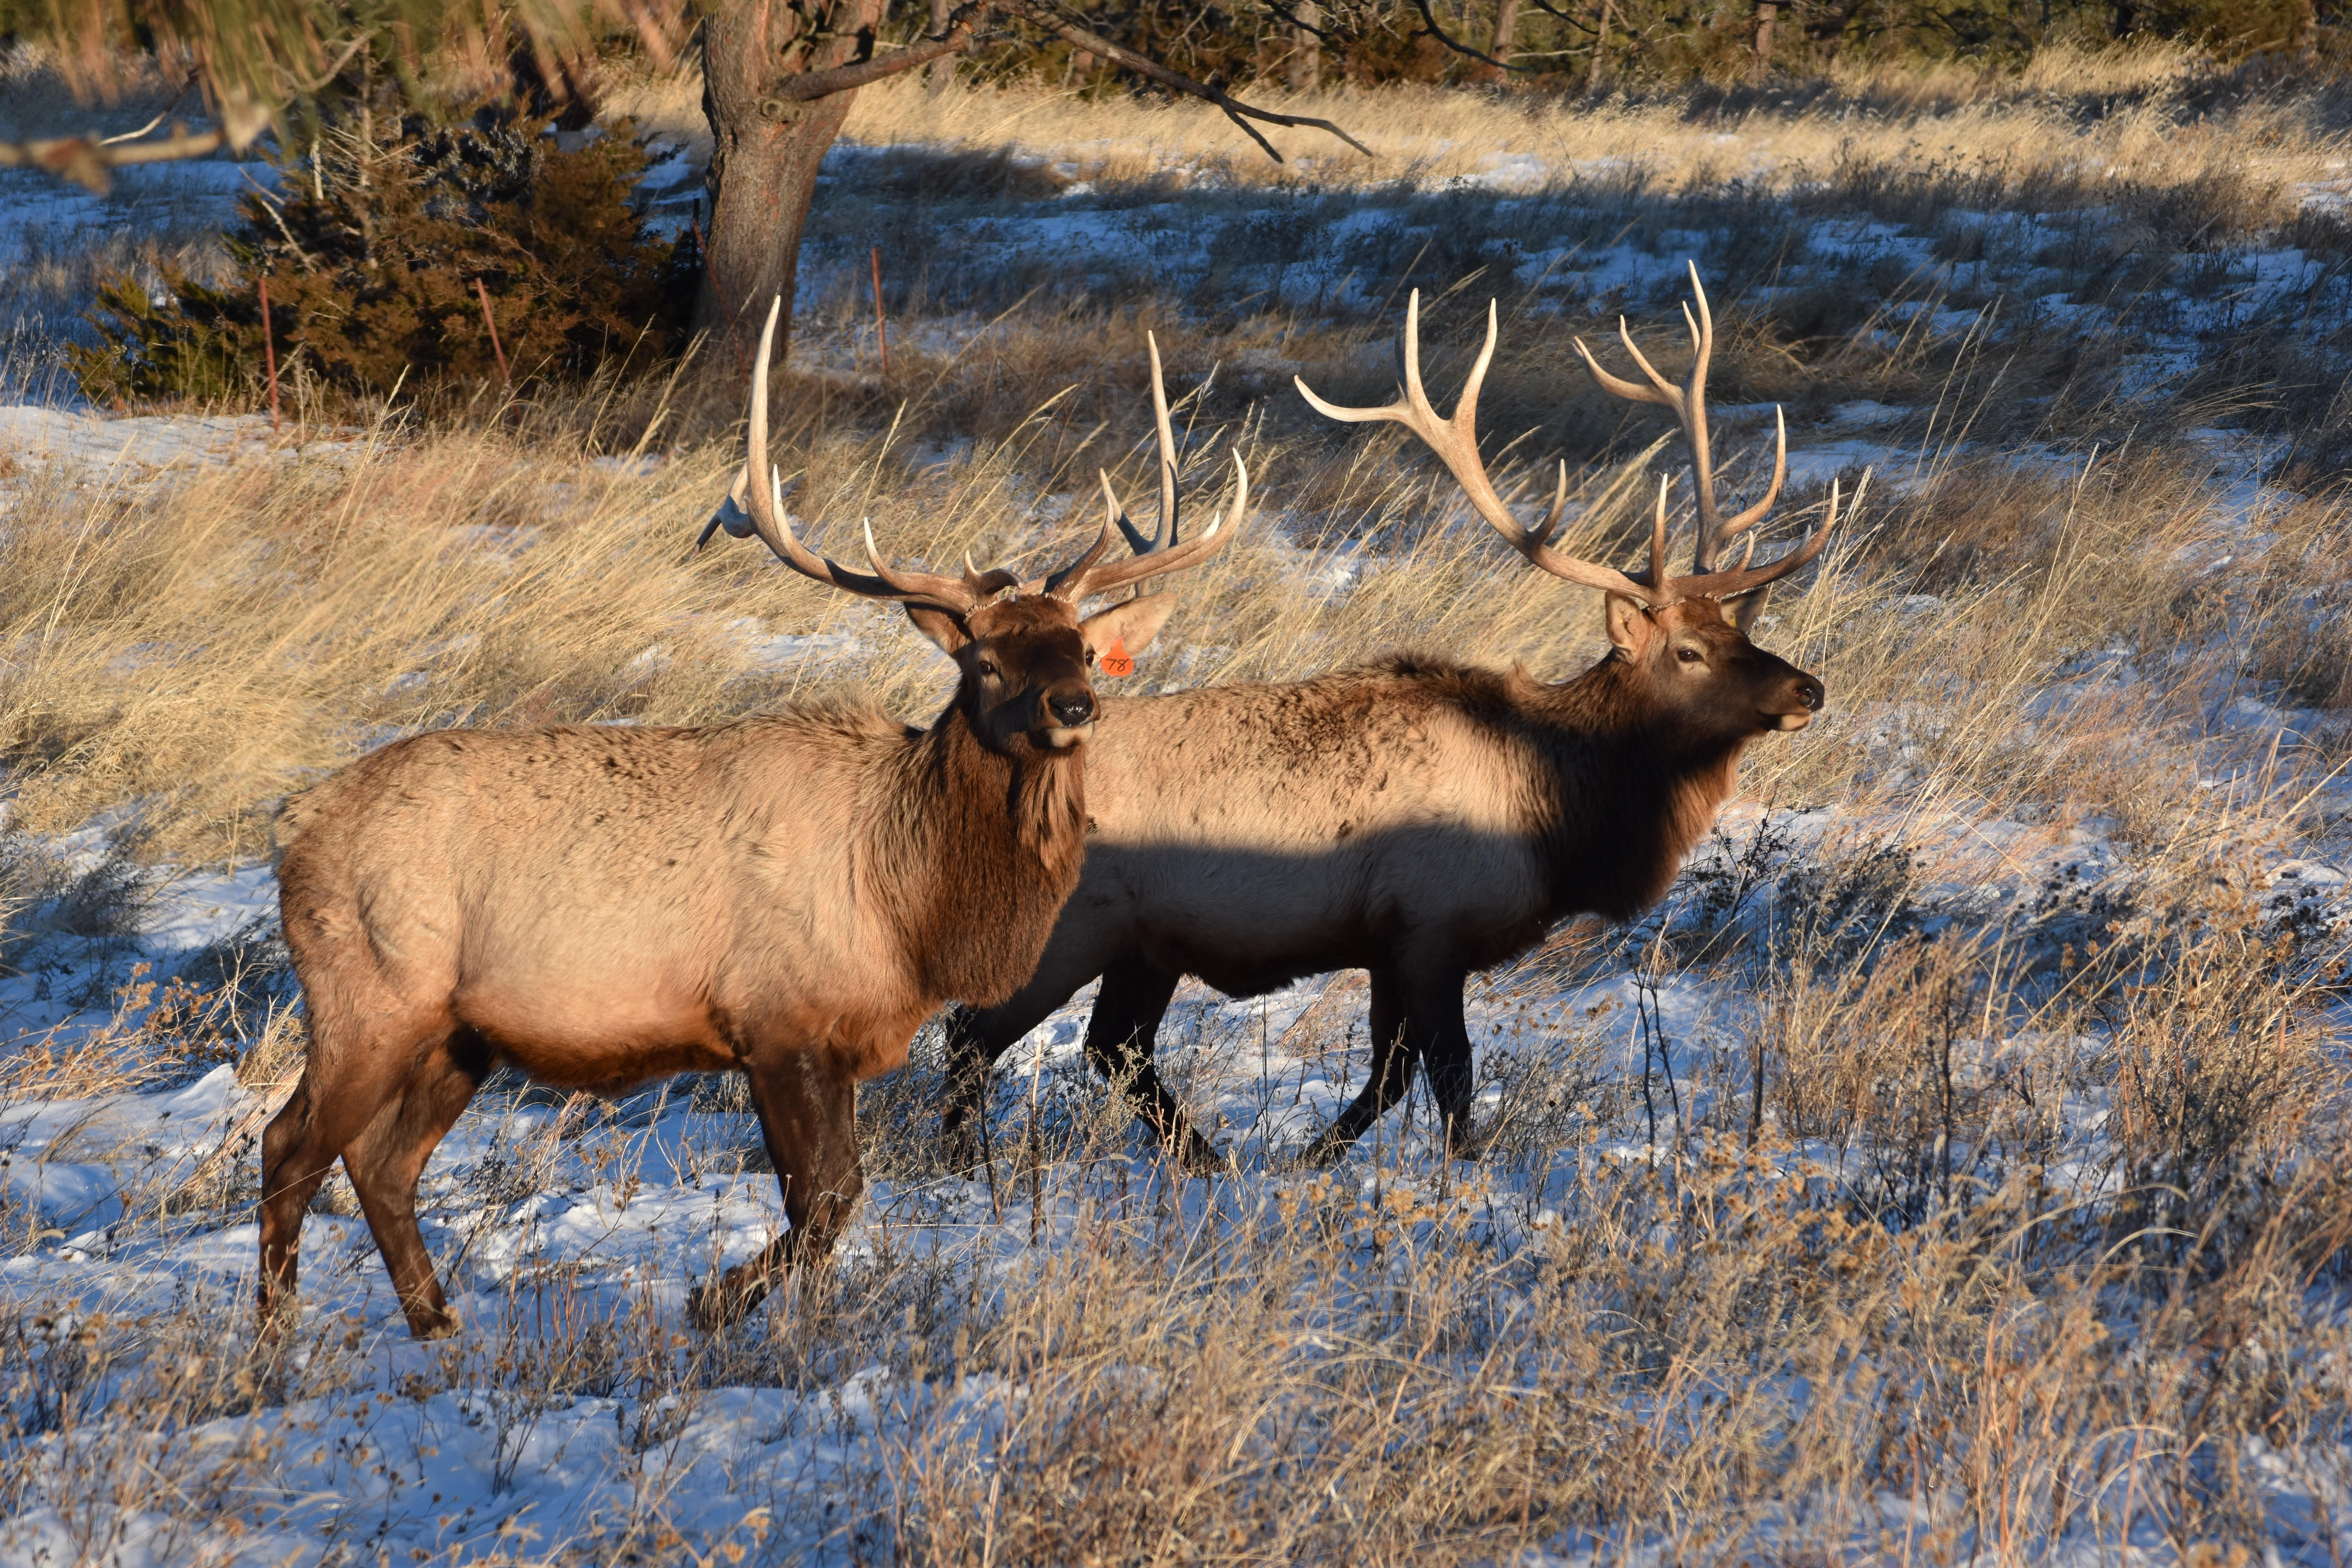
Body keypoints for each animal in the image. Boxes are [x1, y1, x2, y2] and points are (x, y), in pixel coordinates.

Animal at [262, 297, 1251, 1335]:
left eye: (1081, 648)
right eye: (985, 661)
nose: (1076, 705)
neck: (909, 907)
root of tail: (292, 825)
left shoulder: (840, 1039)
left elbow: (834, 1197)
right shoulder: (776, 1021)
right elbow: (828, 1196)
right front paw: (713, 1299)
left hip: (459, 1031)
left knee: (381, 1160)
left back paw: (438, 1327)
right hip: (368, 991)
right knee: (289, 1146)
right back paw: (278, 1342)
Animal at [936, 270, 1835, 1171]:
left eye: (1741, 632)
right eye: (1688, 650)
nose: (1808, 689)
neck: (1553, 806)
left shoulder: (1385, 945)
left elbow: (1390, 1073)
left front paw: (1311, 1160)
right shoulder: (1434, 926)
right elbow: (1449, 1073)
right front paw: (1455, 1172)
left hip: (1146, 941)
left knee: (1113, 1046)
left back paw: (1207, 1163)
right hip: (1074, 924)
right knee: (977, 1034)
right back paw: (963, 1164)